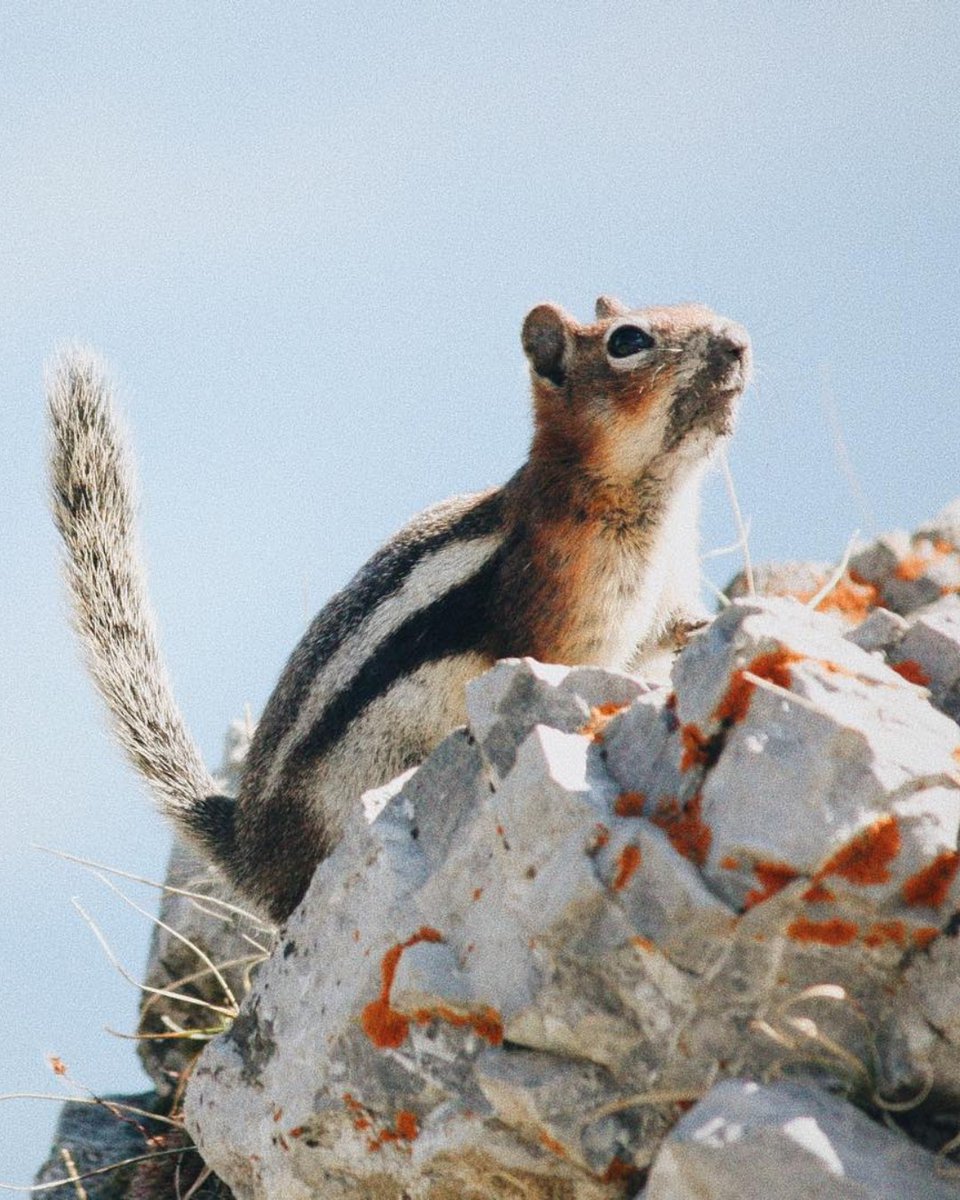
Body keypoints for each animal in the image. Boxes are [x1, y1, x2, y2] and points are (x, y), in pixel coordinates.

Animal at [48, 295, 751, 921]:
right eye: (628, 341)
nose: (740, 340)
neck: (654, 500)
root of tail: (252, 857)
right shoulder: (564, 612)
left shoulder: (661, 597)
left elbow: (669, 633)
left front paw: (717, 623)